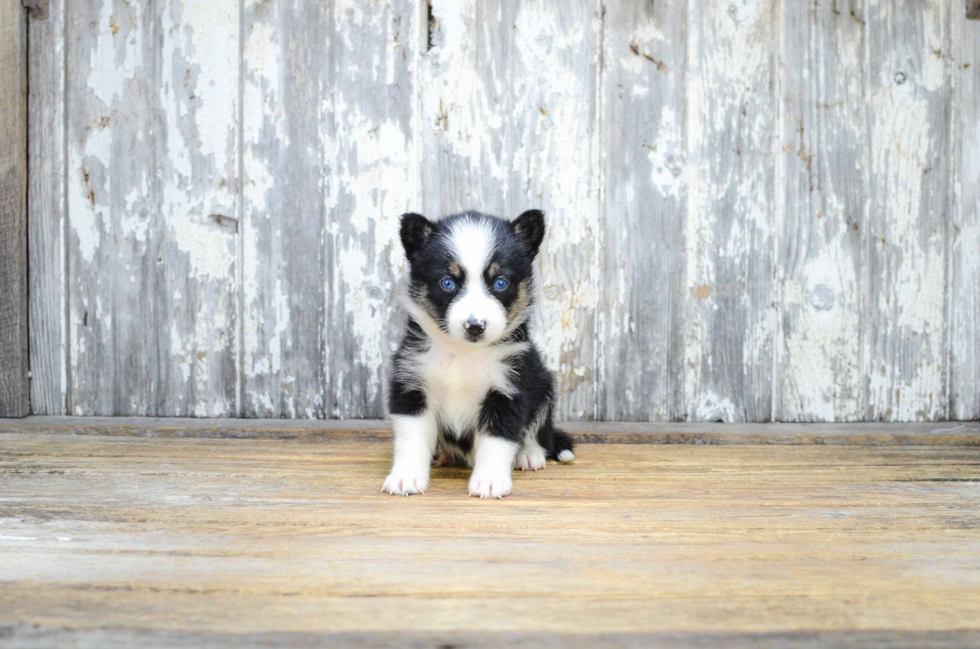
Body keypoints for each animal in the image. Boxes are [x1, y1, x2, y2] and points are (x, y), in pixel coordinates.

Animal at [380, 210, 576, 498]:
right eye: (447, 283)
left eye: (500, 282)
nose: (475, 325)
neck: (464, 353)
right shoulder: (412, 387)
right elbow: (411, 439)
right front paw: (406, 477)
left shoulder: (508, 389)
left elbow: (497, 440)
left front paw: (490, 481)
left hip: (543, 386)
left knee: (539, 432)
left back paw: (529, 455)